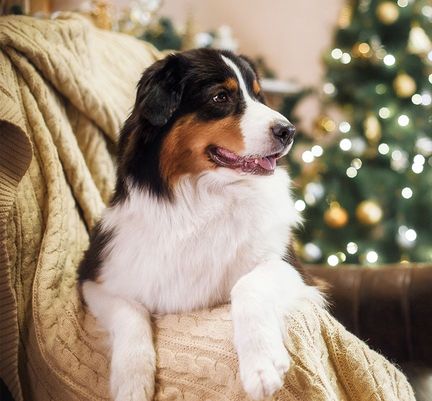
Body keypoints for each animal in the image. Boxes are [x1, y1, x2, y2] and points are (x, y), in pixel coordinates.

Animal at [77, 47, 322, 400]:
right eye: (221, 96)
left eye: (257, 94)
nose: (288, 130)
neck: (207, 198)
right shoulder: (96, 277)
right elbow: (131, 314)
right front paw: (131, 381)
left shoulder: (292, 268)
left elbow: (247, 285)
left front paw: (261, 365)